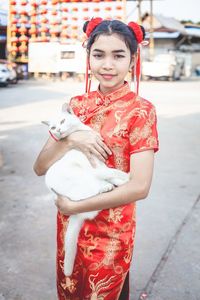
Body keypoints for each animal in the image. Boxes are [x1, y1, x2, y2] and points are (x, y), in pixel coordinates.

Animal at [43, 103, 129, 276]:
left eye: (62, 121)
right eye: (53, 127)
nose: (58, 130)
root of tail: (78, 214)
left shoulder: (99, 163)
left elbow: (109, 172)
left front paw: (121, 179)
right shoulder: (96, 165)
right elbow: (110, 172)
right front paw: (124, 178)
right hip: (83, 178)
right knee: (95, 188)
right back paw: (110, 186)